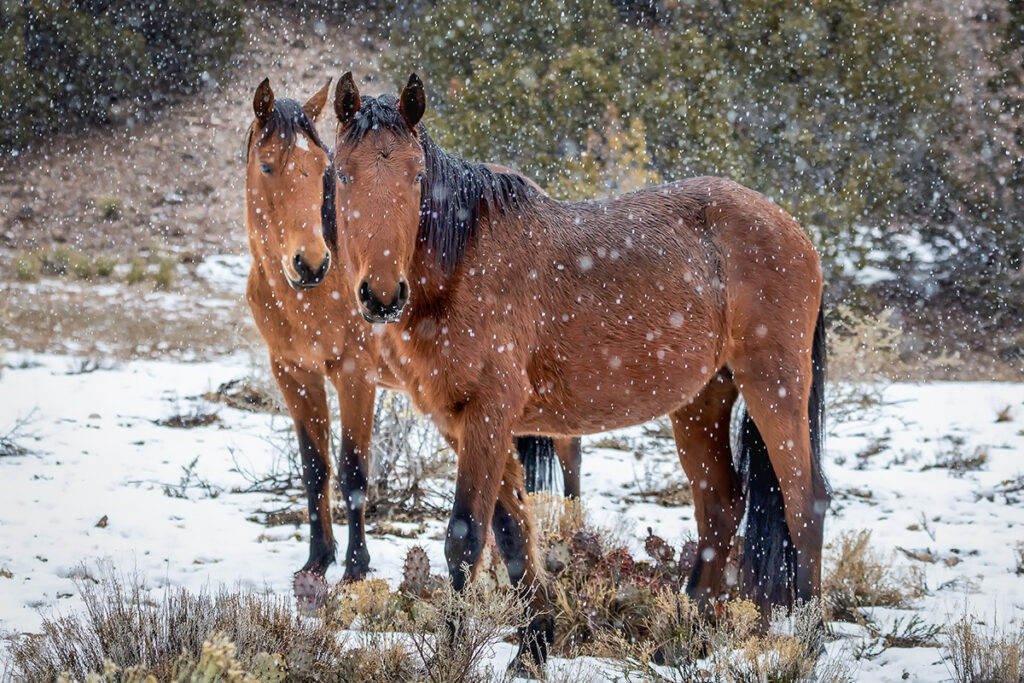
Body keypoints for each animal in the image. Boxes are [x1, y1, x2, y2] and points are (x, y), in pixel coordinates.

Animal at [236, 78, 581, 610]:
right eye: (269, 165)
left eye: (322, 170)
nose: (311, 262)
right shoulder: (294, 372)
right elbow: (315, 468)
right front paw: (317, 562)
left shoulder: (354, 374)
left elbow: (354, 471)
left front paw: (354, 570)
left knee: (570, 456)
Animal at [329, 72, 831, 671]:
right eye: (342, 173)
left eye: (416, 175)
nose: (382, 295)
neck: (461, 263)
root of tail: (794, 232)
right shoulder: (461, 423)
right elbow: (512, 534)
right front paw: (533, 645)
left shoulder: (489, 414)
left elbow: (465, 537)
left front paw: (454, 659)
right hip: (702, 403)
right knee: (720, 508)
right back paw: (685, 637)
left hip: (774, 385)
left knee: (805, 501)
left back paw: (807, 642)